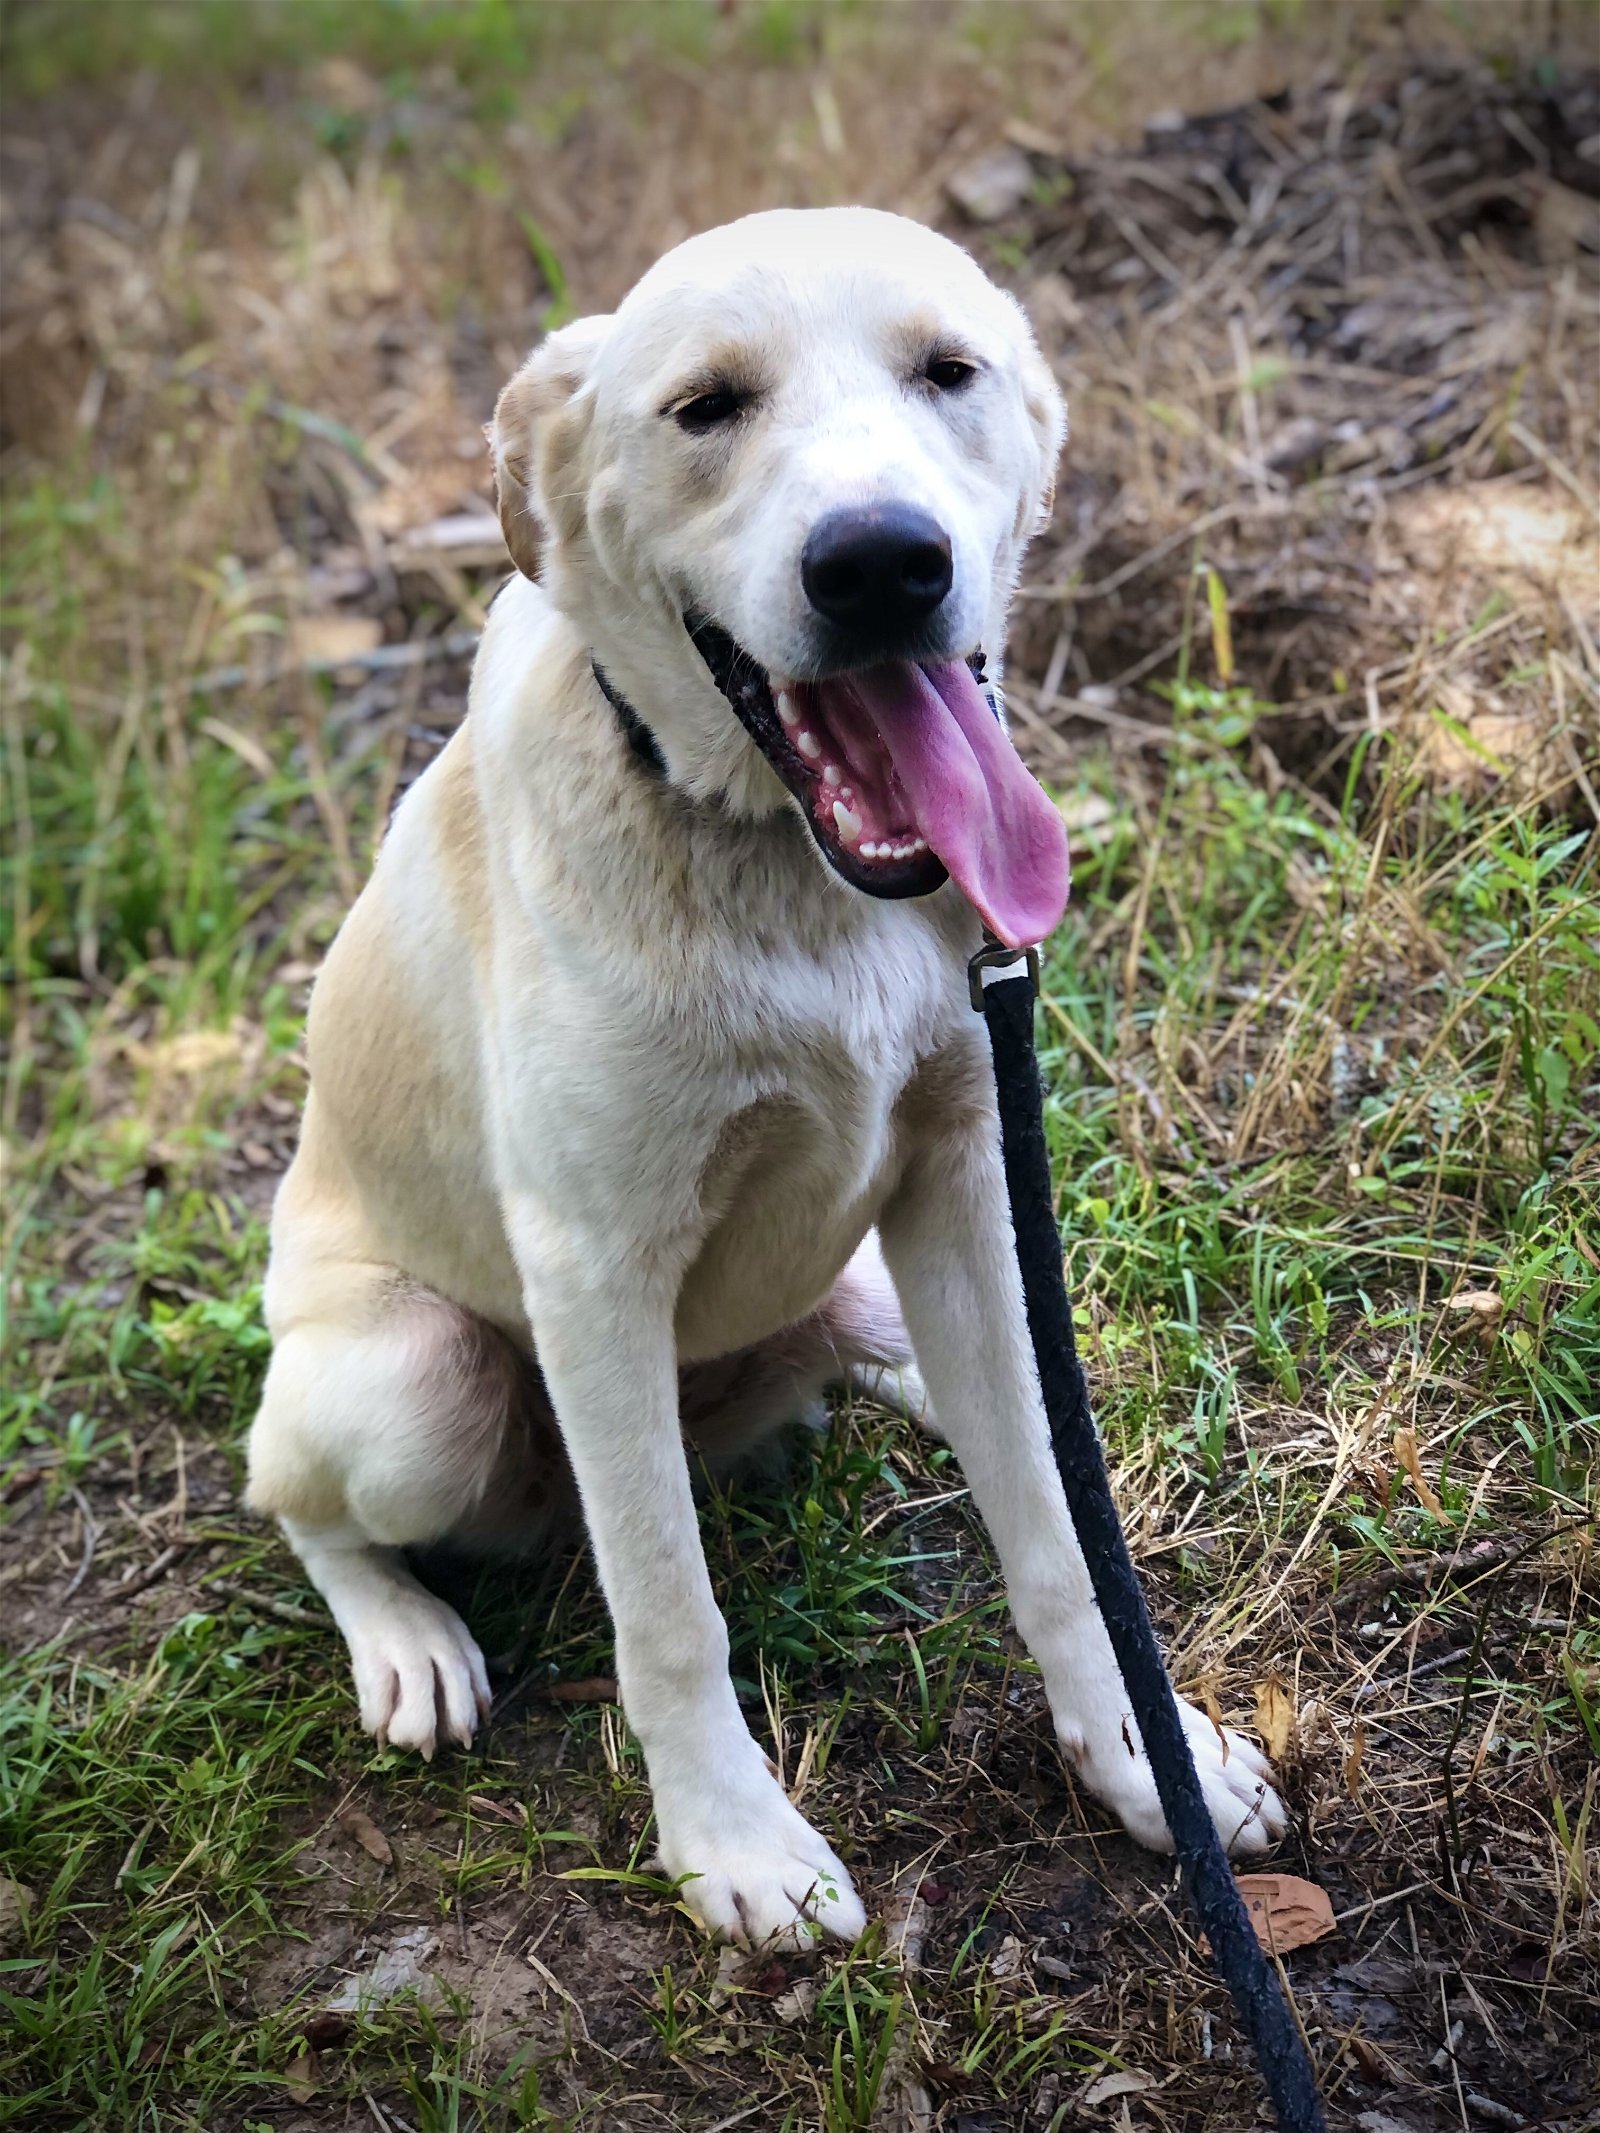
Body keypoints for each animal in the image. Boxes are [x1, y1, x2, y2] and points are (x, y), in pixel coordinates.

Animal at [244, 203, 1288, 1953]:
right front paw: (732, 1841)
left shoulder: (964, 1177)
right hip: (415, 1383)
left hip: (870, 1277)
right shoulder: (597, 1272)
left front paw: (1149, 1756)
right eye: (706, 408)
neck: (797, 878)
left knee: (963, 1394)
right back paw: (406, 1636)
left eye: (949, 372)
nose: (882, 565)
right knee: (303, 1503)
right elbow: (670, 1608)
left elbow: (1055, 1532)